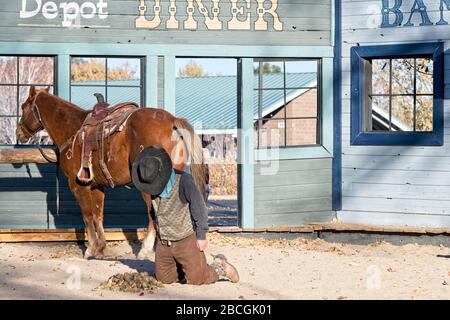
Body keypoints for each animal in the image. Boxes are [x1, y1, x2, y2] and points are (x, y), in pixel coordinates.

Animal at [15, 86, 205, 258]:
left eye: (23, 107)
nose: (18, 133)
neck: (72, 130)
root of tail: (172, 120)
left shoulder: (77, 185)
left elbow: (87, 215)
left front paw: (91, 249)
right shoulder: (96, 185)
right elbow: (98, 215)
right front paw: (101, 248)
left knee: (154, 215)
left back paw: (145, 250)